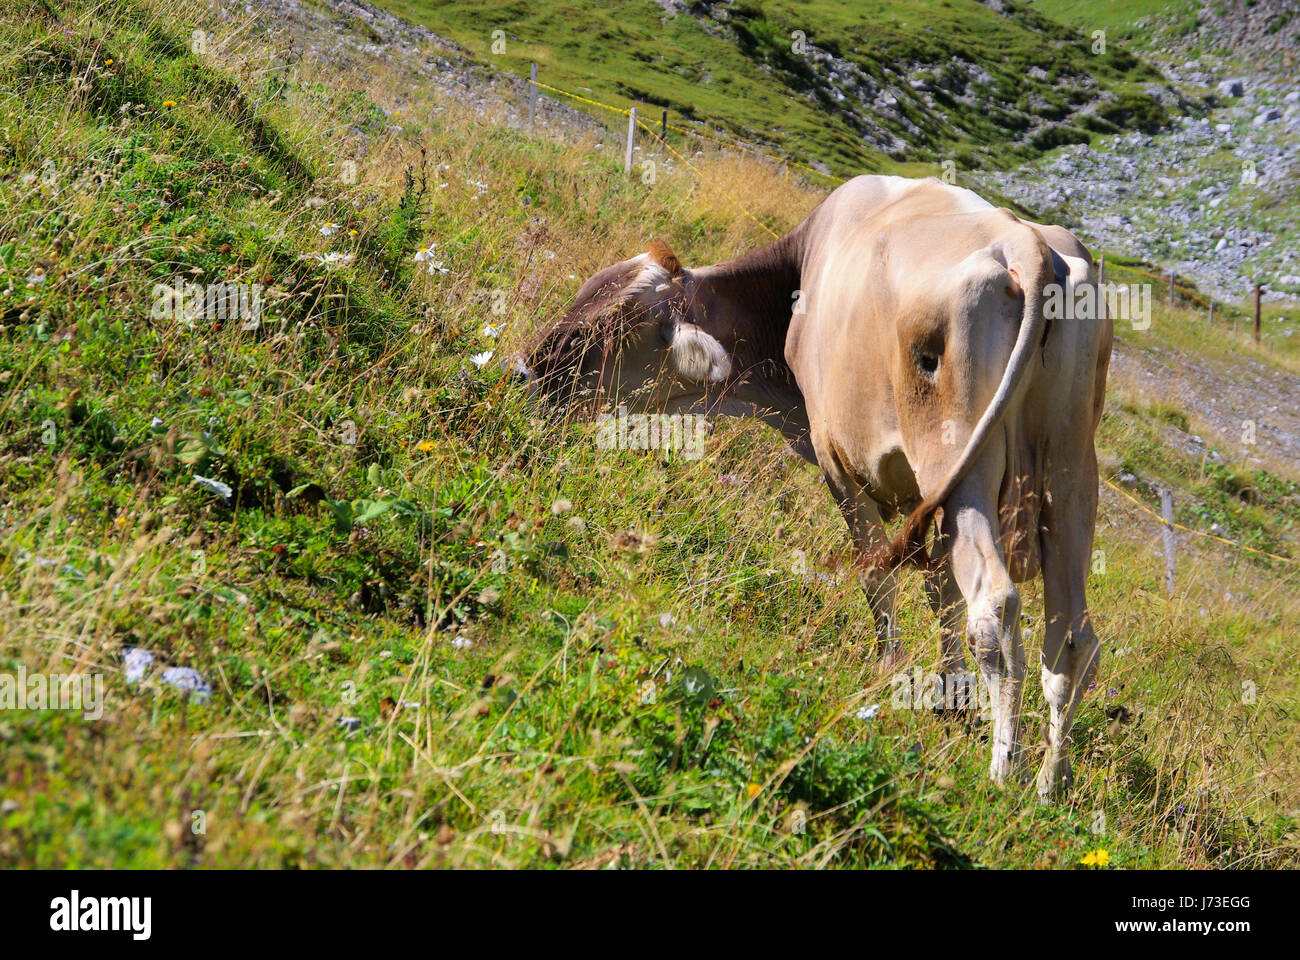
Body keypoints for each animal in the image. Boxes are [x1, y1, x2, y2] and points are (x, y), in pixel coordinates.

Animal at [518, 175, 1112, 797]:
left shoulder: (837, 461)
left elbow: (879, 575)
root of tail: (1028, 244)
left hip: (959, 464)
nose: (523, 370)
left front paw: (893, 673)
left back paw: (1004, 770)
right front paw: (950, 695)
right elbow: (940, 591)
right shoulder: (924, 501)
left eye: (597, 333)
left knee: (995, 607)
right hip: (1070, 476)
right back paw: (1050, 781)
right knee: (1074, 638)